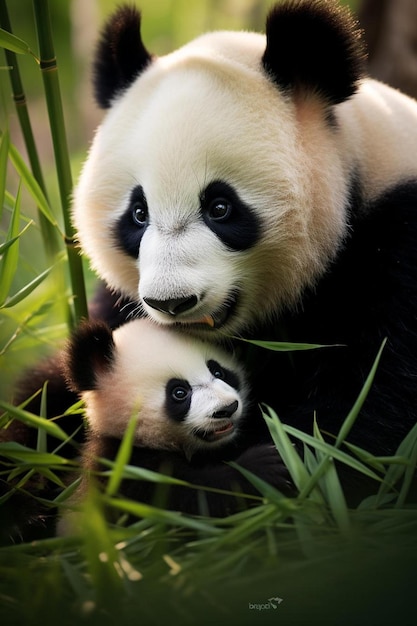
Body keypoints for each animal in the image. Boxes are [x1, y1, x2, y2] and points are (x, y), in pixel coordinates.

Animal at [61, 316, 290, 516]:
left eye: (218, 372)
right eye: (179, 392)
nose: (227, 408)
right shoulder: (121, 468)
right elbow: (190, 498)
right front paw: (265, 467)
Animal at [70, 0, 416, 468]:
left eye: (220, 208)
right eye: (138, 214)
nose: (171, 301)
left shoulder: (399, 247)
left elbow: (360, 418)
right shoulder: (121, 301)